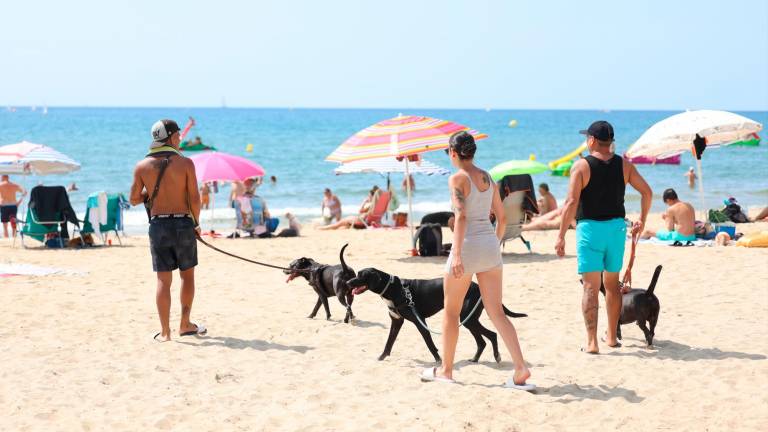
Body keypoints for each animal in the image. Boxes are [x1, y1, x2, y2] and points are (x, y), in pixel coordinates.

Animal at [348, 268, 528, 362]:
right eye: (356, 274)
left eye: (361, 275)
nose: (348, 282)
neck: (394, 289)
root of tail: (478, 287)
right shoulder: (397, 322)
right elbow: (388, 343)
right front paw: (381, 357)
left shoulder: (420, 322)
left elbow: (429, 344)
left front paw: (438, 360)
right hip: (469, 320)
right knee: (483, 341)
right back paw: (476, 359)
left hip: (468, 319)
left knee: (492, 335)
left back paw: (496, 356)